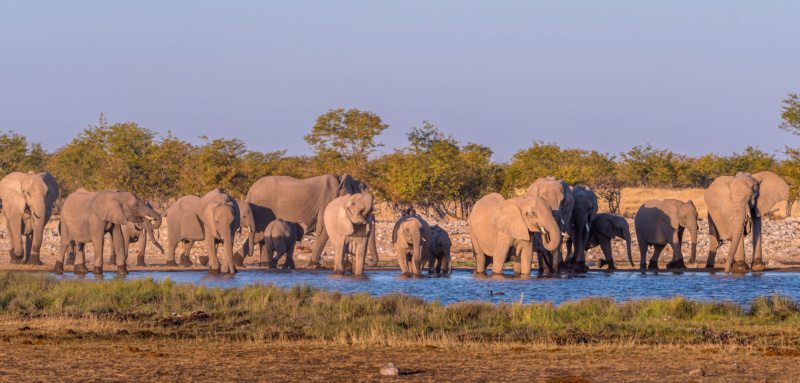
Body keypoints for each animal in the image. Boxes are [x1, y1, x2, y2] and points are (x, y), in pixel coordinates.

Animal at [238, 174, 378, 268]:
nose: (370, 261)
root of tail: (249, 192)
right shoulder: (326, 203)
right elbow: (324, 230)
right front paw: (313, 266)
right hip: (263, 209)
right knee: (259, 236)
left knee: (260, 238)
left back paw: (260, 265)